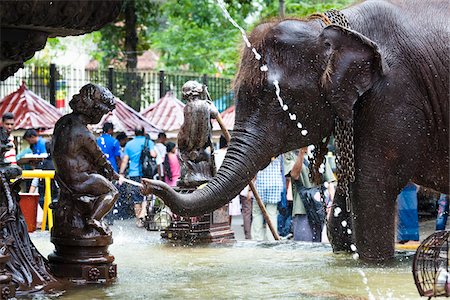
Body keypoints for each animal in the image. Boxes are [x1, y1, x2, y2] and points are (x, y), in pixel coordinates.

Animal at [142, 0, 448, 262]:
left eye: (274, 95)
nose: (147, 183)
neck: (327, 27)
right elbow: (345, 200)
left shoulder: (394, 96)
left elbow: (371, 189)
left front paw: (374, 267)